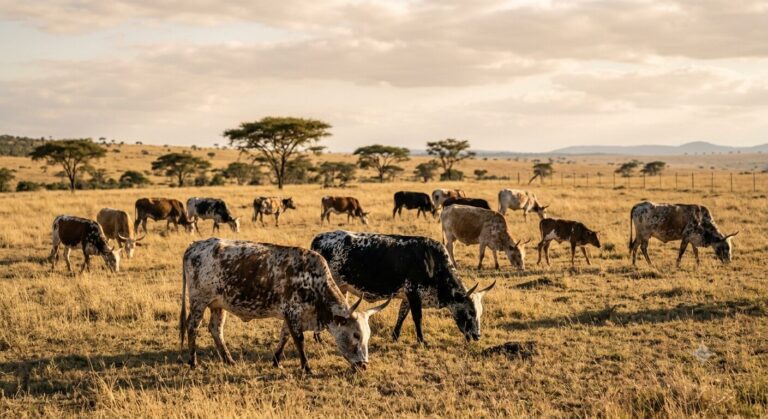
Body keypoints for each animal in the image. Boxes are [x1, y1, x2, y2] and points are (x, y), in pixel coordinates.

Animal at [180, 238, 390, 373]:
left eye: (368, 335)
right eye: (356, 335)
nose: (364, 365)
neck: (315, 283)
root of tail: (195, 245)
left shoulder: (290, 315)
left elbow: (284, 336)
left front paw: (276, 361)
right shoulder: (293, 313)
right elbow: (298, 340)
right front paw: (307, 367)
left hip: (217, 304)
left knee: (216, 329)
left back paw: (228, 360)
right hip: (199, 301)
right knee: (192, 327)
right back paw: (193, 362)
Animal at [311, 230, 496, 344]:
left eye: (480, 313)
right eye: (470, 312)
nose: (477, 336)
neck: (432, 263)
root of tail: (319, 238)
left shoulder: (407, 296)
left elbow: (402, 315)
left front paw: (395, 336)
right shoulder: (414, 293)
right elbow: (417, 318)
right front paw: (422, 340)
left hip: (341, 288)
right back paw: (318, 338)